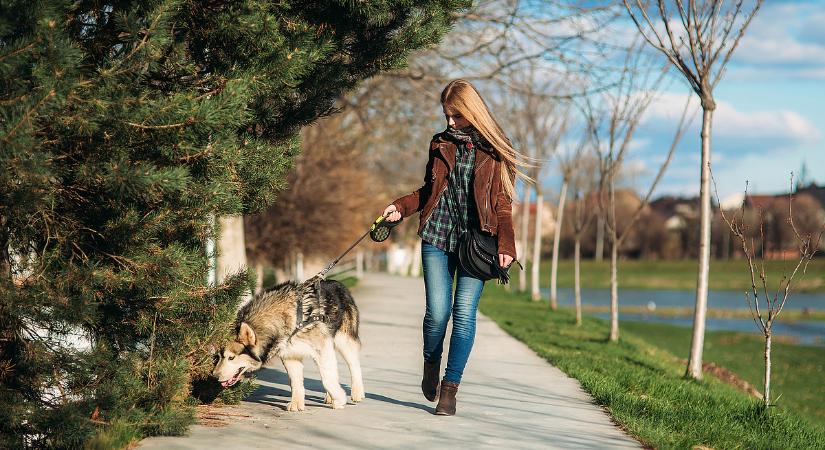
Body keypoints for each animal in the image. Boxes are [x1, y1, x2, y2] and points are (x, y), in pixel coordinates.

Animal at [212, 276, 364, 410]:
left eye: (231, 358)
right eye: (218, 357)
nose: (214, 376)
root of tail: (336, 282)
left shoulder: (322, 349)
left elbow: (327, 379)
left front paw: (339, 400)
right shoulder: (290, 356)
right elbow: (295, 382)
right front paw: (296, 404)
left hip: (344, 342)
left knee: (354, 366)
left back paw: (357, 392)